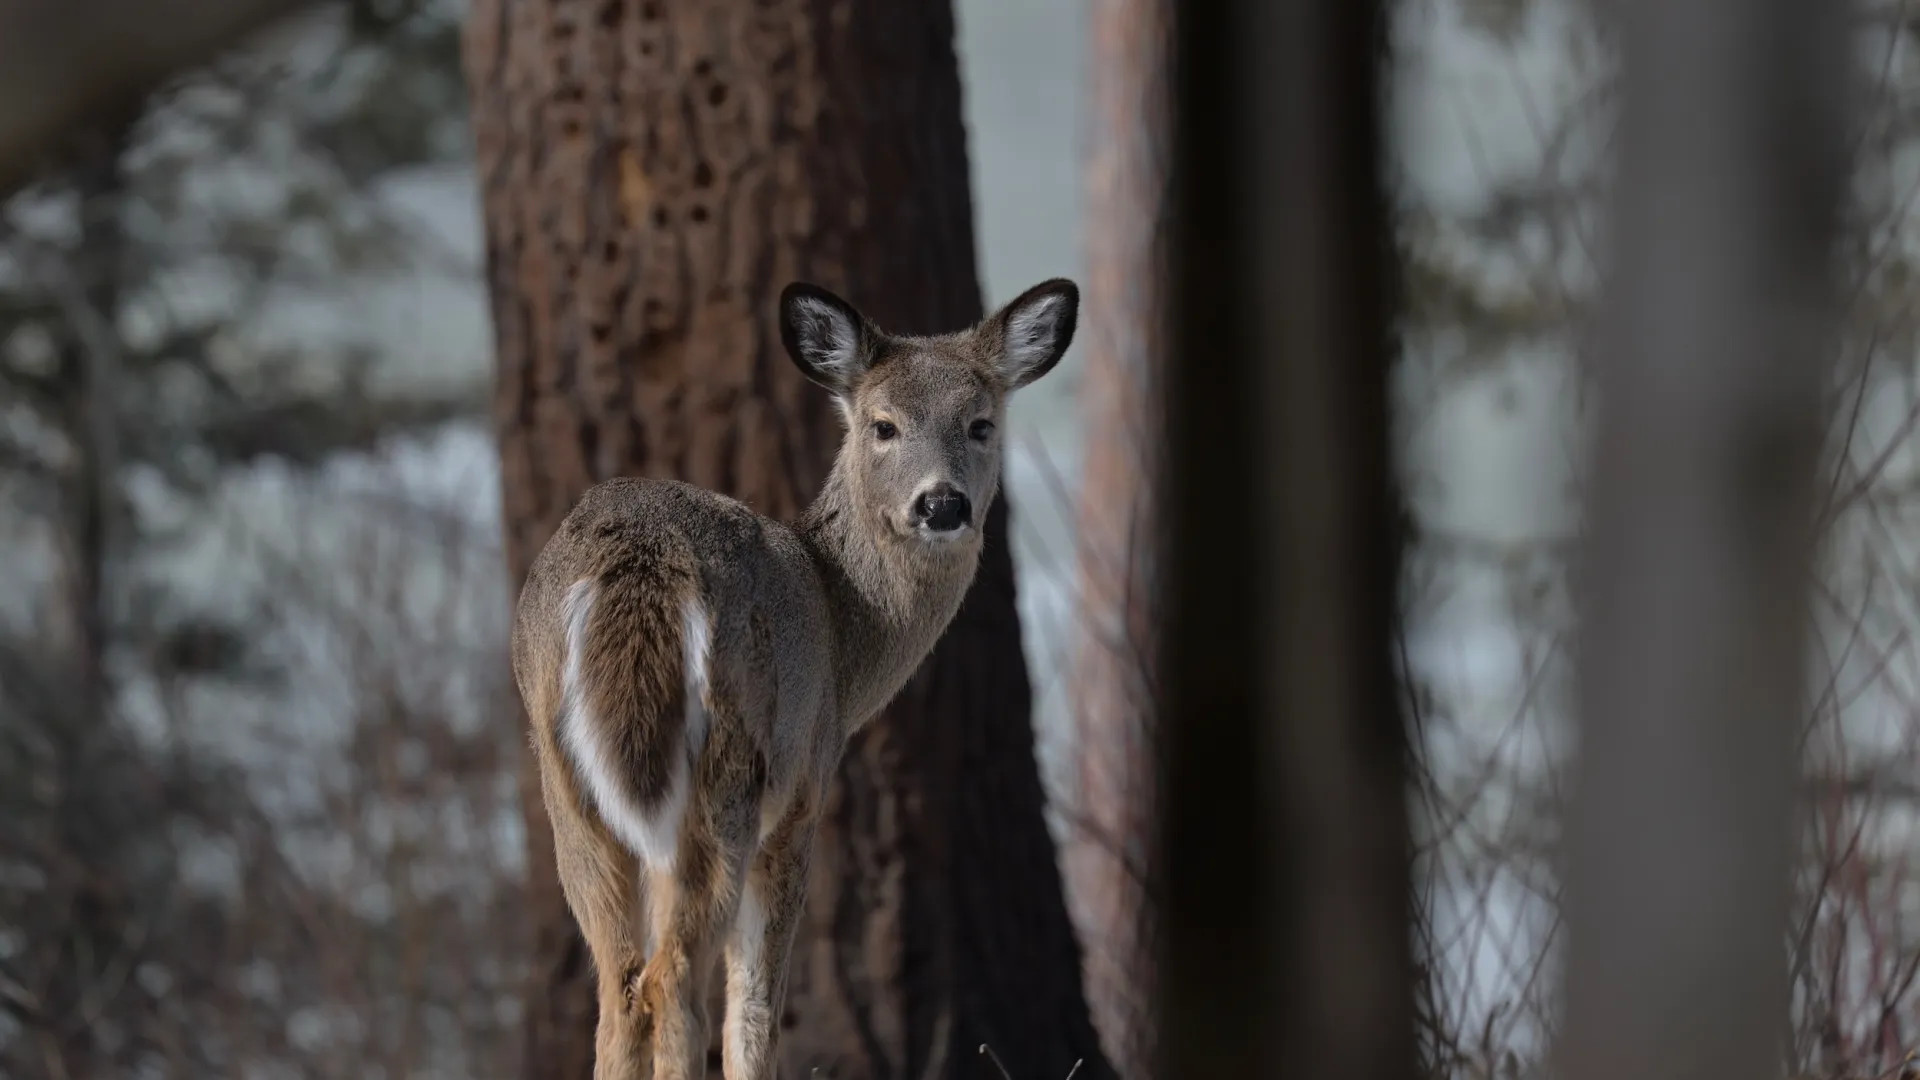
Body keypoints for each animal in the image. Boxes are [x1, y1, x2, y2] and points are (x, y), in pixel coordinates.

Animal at [509, 277, 1080, 1080]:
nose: (942, 504)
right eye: (882, 425)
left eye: (980, 424)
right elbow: (756, 1004)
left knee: (621, 988)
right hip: (728, 775)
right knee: (674, 979)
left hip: (568, 786)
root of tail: (636, 571)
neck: (843, 629)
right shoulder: (805, 792)